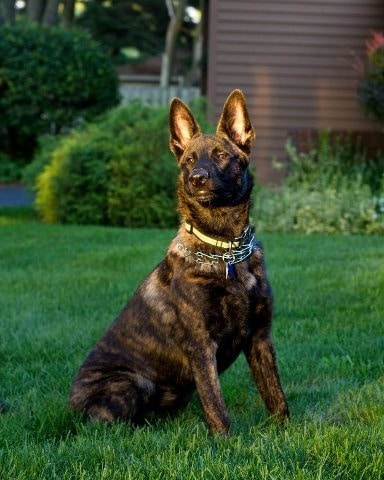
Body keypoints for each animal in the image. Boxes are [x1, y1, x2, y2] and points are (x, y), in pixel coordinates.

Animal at [70, 90, 288, 436]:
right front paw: (226, 442)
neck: (225, 251)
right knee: (103, 426)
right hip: (130, 383)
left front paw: (286, 432)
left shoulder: (260, 337)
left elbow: (276, 395)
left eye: (221, 155)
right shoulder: (201, 345)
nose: (198, 179)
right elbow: (215, 403)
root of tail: (70, 407)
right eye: (189, 160)